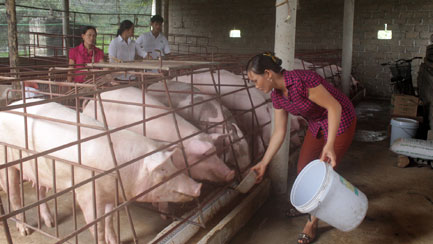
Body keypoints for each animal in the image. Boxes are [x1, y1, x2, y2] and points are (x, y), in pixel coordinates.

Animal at [0, 99, 202, 244]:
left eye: (173, 164)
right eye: (162, 169)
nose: (198, 187)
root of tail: (6, 107)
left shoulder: (110, 194)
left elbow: (109, 220)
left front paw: (115, 241)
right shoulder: (88, 194)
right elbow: (97, 228)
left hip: (40, 170)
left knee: (40, 191)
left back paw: (51, 224)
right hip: (6, 162)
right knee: (14, 196)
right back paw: (25, 231)